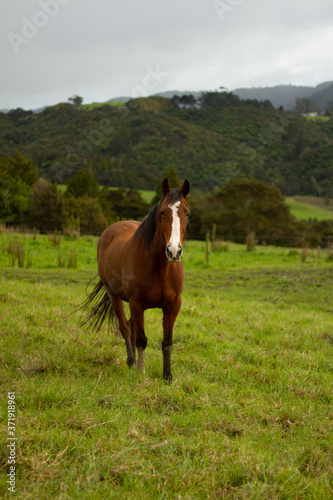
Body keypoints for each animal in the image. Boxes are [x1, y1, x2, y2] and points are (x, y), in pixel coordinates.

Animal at [78, 180, 189, 382]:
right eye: (163, 212)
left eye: (187, 213)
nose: (173, 251)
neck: (160, 268)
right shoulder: (137, 303)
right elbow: (141, 340)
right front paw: (141, 372)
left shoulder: (173, 305)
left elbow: (167, 342)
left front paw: (167, 377)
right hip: (115, 296)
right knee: (125, 328)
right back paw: (131, 362)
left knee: (130, 326)